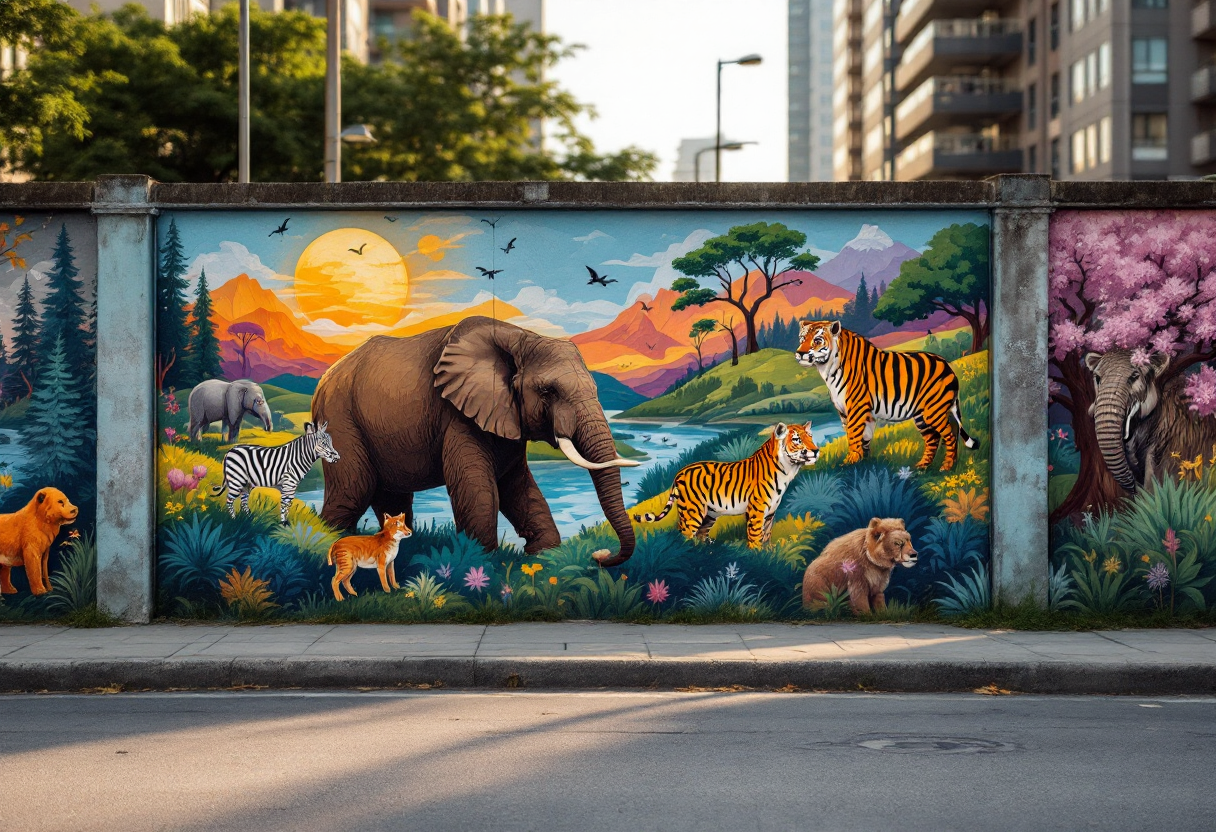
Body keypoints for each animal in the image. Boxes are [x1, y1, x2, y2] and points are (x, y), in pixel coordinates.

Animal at [211, 418, 340, 523]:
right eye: (323, 443)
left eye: (330, 442)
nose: (337, 458)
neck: (300, 456)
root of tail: (230, 451)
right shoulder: (289, 483)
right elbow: (285, 504)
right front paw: (284, 524)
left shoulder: (290, 485)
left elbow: (287, 504)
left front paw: (285, 524)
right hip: (236, 480)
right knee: (229, 500)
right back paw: (233, 520)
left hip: (246, 484)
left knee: (243, 501)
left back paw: (248, 520)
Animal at [308, 316, 642, 564]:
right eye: (548, 391)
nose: (600, 556)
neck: (519, 337)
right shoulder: (457, 415)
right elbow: (478, 487)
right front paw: (482, 562)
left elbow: (518, 487)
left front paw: (545, 555)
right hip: (340, 418)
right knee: (353, 490)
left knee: (392, 497)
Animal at [632, 418, 822, 549]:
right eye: (797, 440)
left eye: (811, 437)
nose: (816, 450)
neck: (788, 470)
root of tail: (679, 472)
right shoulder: (757, 509)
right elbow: (755, 534)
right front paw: (757, 553)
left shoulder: (770, 512)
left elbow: (766, 533)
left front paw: (769, 552)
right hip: (692, 512)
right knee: (683, 534)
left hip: (709, 514)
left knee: (699, 534)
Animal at [792, 318, 982, 471]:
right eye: (802, 339)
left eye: (817, 340)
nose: (800, 353)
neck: (828, 368)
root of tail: (948, 366)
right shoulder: (847, 412)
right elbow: (863, 437)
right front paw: (863, 462)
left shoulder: (856, 408)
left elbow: (853, 436)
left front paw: (850, 462)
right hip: (922, 416)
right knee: (933, 439)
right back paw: (922, 466)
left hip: (934, 412)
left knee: (950, 436)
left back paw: (947, 466)